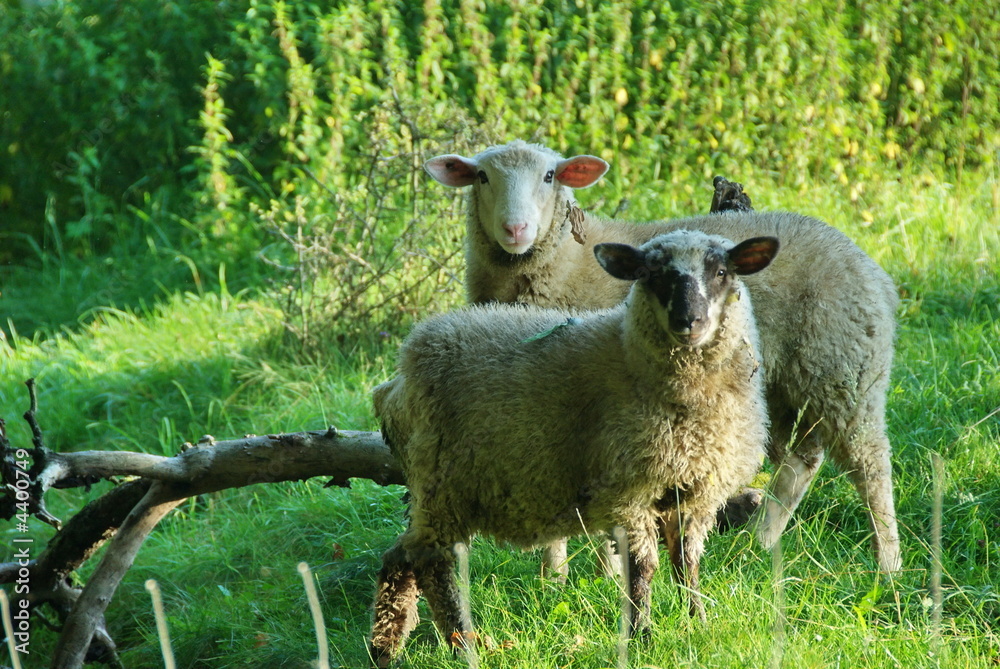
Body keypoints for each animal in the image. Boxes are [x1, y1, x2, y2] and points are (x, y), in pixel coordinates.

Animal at [368, 230, 780, 666]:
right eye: (651, 274)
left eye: (721, 272)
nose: (689, 322)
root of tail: (395, 380)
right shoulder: (628, 492)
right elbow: (643, 569)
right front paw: (642, 637)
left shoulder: (697, 493)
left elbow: (687, 564)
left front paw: (696, 624)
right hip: (442, 482)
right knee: (434, 562)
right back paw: (464, 643)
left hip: (437, 491)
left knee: (400, 555)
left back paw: (386, 647)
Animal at [424, 140, 902, 575]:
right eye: (482, 177)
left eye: (549, 176)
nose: (516, 229)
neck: (569, 261)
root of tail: (873, 269)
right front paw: (554, 577)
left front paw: (605, 571)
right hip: (787, 379)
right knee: (800, 461)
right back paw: (757, 545)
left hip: (845, 368)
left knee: (871, 465)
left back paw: (888, 562)